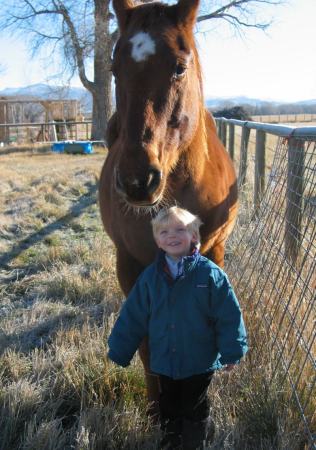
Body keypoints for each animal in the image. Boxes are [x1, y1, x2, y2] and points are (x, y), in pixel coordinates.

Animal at [99, 0, 237, 412]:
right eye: (115, 69)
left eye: (179, 66)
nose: (136, 180)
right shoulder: (130, 264)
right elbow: (145, 344)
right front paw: (156, 409)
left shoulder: (215, 254)